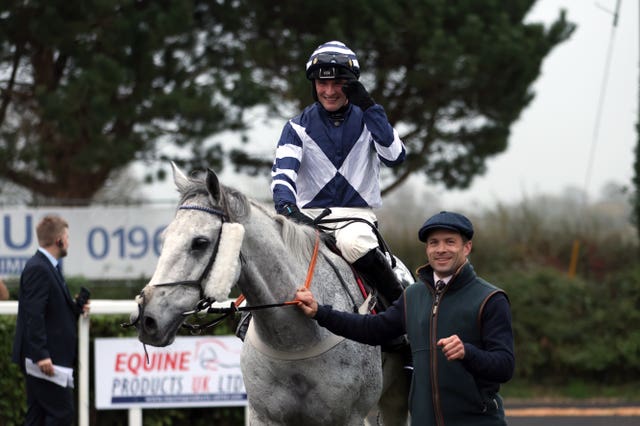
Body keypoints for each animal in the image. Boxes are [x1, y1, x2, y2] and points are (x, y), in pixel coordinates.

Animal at [132, 162, 408, 422]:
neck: (294, 342)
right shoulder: (264, 416)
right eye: (165, 238)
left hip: (395, 399)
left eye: (200, 242)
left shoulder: (348, 416)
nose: (147, 318)